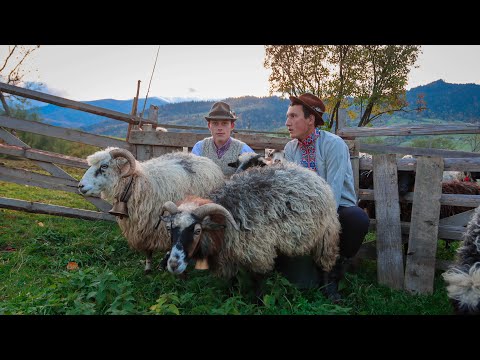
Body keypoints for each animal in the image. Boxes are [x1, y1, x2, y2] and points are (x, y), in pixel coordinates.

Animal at [78, 146, 225, 272]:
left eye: (104, 166)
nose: (80, 186)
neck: (137, 184)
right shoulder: (143, 228)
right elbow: (148, 251)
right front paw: (148, 268)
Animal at [159, 162, 340, 288]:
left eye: (197, 230)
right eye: (169, 229)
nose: (173, 265)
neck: (225, 223)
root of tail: (311, 174)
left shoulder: (259, 252)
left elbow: (257, 282)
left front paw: (258, 305)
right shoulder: (227, 256)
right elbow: (231, 281)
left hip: (326, 234)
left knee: (326, 263)